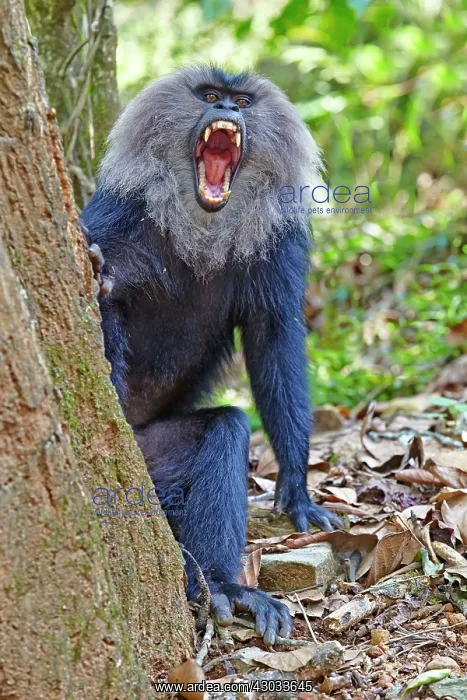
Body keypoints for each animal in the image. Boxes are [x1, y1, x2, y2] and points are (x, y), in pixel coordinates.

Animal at [81, 65, 342, 645]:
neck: (202, 222)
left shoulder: (279, 243)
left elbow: (275, 338)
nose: (226, 111)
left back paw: (224, 585)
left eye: (241, 101)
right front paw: (103, 283)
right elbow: (106, 297)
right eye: (210, 96)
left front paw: (297, 489)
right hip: (141, 459)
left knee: (226, 428)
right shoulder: (117, 214)